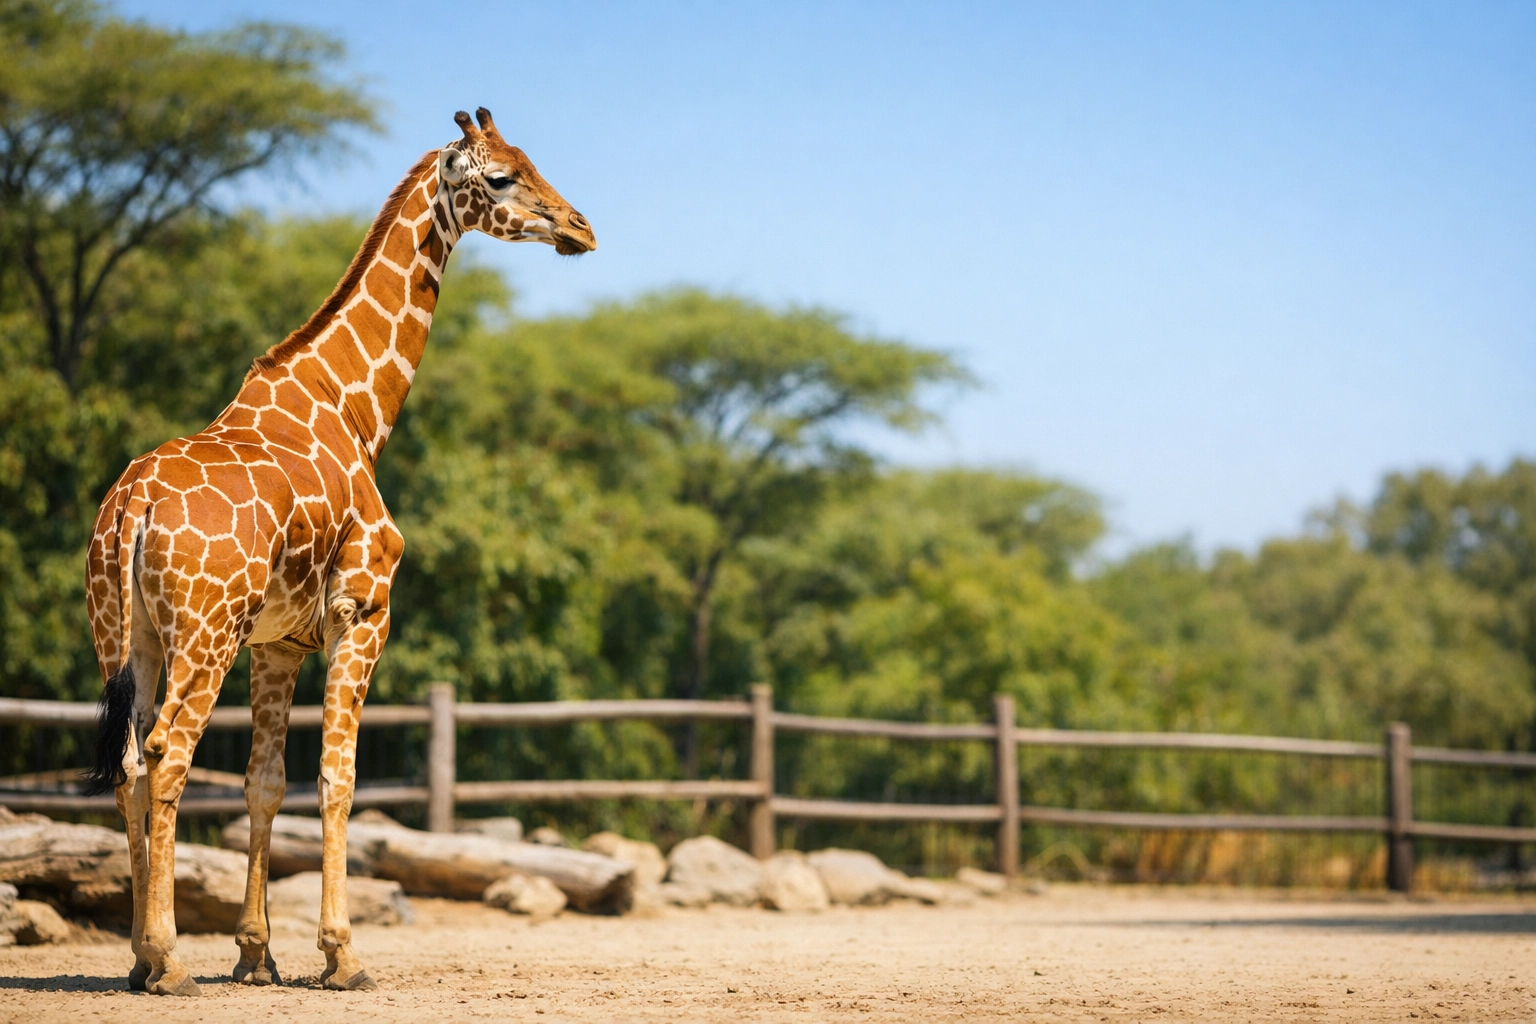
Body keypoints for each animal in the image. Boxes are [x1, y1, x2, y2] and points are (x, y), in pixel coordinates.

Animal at [80, 108, 595, 996]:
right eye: (500, 177)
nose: (580, 228)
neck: (356, 411)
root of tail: (131, 508)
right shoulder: (363, 612)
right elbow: (337, 778)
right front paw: (341, 954)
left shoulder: (279, 643)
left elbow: (265, 784)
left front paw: (257, 954)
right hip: (204, 635)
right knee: (167, 755)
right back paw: (168, 959)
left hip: (125, 634)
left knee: (130, 764)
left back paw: (142, 960)